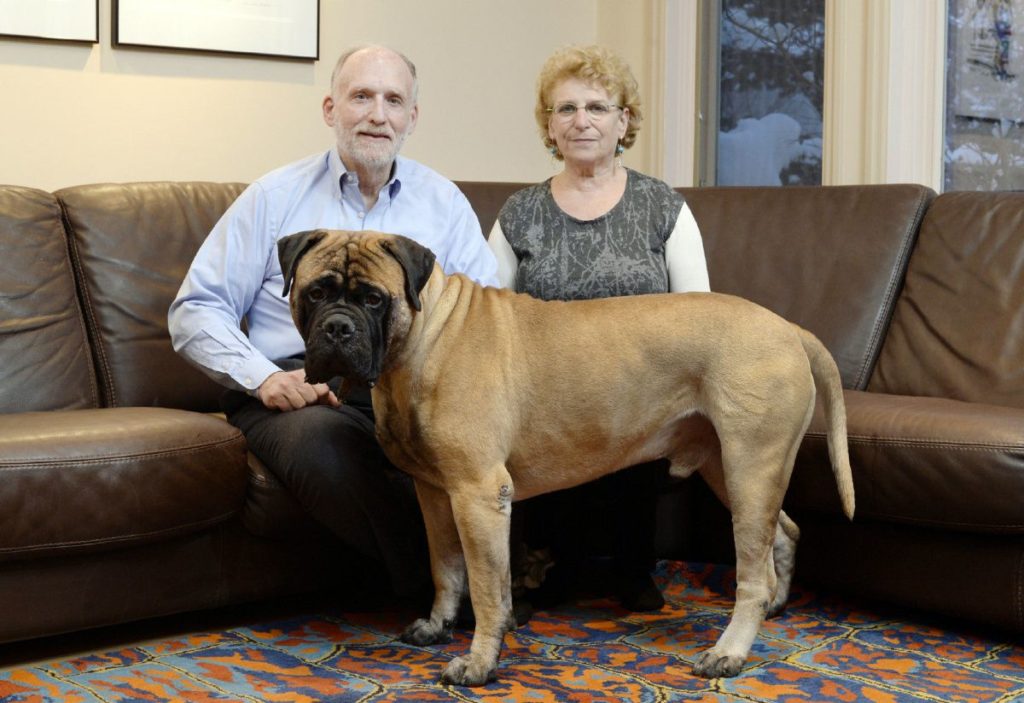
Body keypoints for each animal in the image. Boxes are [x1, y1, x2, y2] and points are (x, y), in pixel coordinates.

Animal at [280, 229, 856, 687]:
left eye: (373, 299)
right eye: (315, 292)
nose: (337, 328)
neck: (423, 340)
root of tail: (788, 328)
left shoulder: (478, 496)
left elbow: (486, 590)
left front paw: (480, 662)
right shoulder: (436, 495)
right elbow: (446, 567)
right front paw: (439, 624)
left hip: (750, 468)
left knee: (751, 575)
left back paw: (729, 651)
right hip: (732, 469)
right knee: (782, 535)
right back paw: (775, 606)